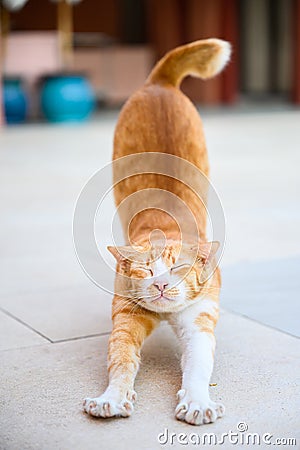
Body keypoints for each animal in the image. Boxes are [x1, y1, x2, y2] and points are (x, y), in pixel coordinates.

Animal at [83, 38, 231, 426]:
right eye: (146, 269)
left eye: (177, 268)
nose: (162, 284)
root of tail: (159, 82)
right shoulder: (126, 319)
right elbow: (121, 360)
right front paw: (112, 398)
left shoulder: (199, 322)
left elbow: (198, 366)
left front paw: (197, 403)